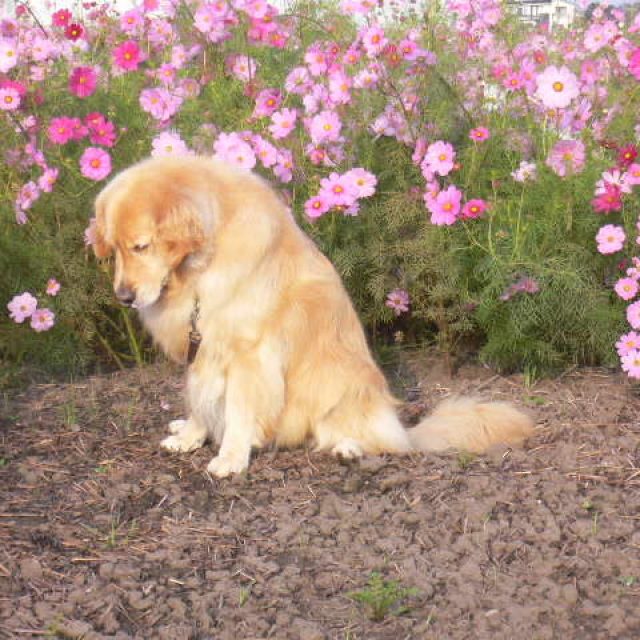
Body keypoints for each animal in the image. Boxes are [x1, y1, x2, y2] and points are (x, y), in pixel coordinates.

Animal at [92, 156, 533, 477]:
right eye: (114, 248)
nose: (124, 297)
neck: (201, 266)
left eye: (142, 246)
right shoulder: (201, 349)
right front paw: (190, 436)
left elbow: (237, 410)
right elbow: (199, 399)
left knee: (375, 439)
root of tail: (405, 430)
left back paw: (348, 448)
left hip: (336, 386)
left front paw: (231, 457)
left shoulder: (248, 353)